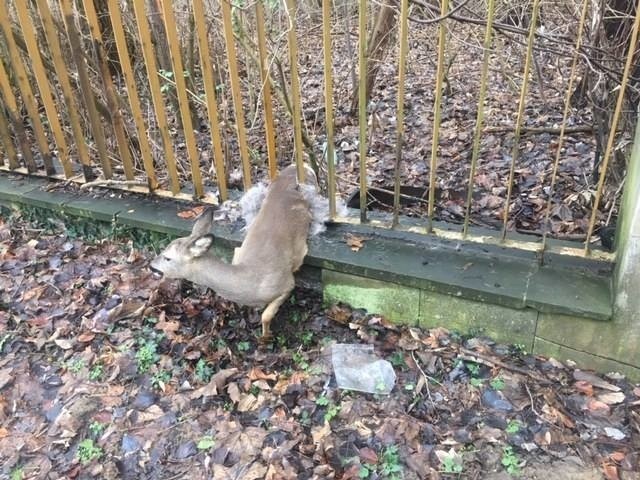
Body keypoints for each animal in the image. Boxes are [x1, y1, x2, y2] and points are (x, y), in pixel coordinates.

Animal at [151, 164, 320, 342]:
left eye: (168, 258)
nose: (151, 265)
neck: (248, 280)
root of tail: (298, 167)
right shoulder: (238, 251)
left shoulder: (286, 283)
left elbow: (266, 315)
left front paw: (266, 336)